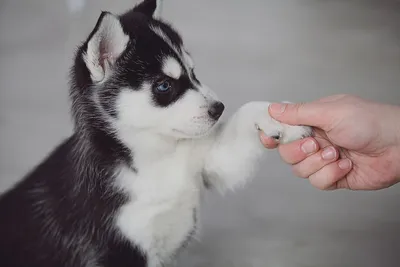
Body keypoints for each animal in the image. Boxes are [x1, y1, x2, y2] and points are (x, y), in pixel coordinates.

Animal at [0, 0, 312, 267]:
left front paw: (280, 118)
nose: (218, 108)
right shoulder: (117, 250)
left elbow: (244, 118)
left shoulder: (209, 162)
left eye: (193, 73)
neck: (153, 157)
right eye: (164, 86)